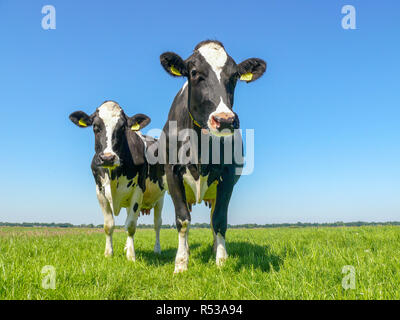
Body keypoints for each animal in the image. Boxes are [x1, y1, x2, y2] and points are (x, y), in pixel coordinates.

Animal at [69, 101, 165, 262]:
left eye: (122, 128)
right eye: (95, 127)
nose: (107, 157)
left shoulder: (138, 190)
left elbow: (131, 225)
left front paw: (131, 256)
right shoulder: (100, 191)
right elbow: (109, 225)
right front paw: (109, 253)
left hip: (161, 197)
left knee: (157, 224)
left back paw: (157, 249)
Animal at [159, 40, 266, 272]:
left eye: (234, 76)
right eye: (194, 72)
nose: (224, 120)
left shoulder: (227, 176)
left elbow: (219, 220)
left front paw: (221, 261)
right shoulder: (172, 173)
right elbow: (182, 219)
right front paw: (181, 263)